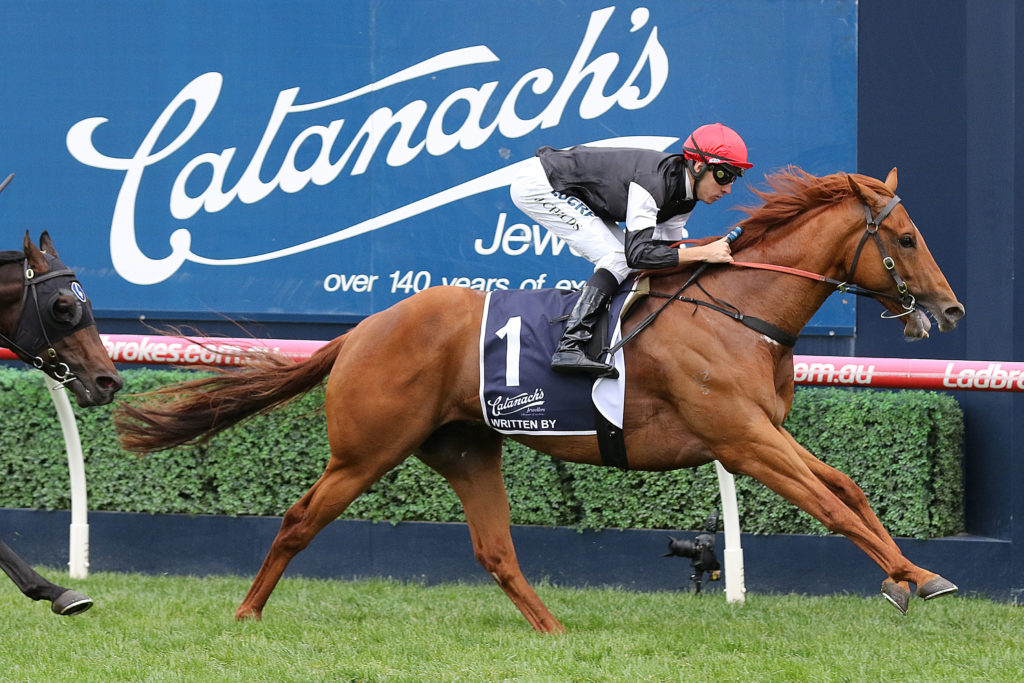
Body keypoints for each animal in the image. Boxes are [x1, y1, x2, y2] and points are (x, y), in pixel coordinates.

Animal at [114, 167, 965, 631]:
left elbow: (847, 487)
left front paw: (910, 574)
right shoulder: (741, 437)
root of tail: (358, 333)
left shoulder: (760, 433)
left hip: (466, 448)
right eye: (909, 238)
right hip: (365, 450)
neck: (738, 309)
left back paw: (555, 630)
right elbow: (830, 504)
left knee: (495, 550)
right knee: (298, 520)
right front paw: (914, 576)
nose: (951, 310)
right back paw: (247, 612)